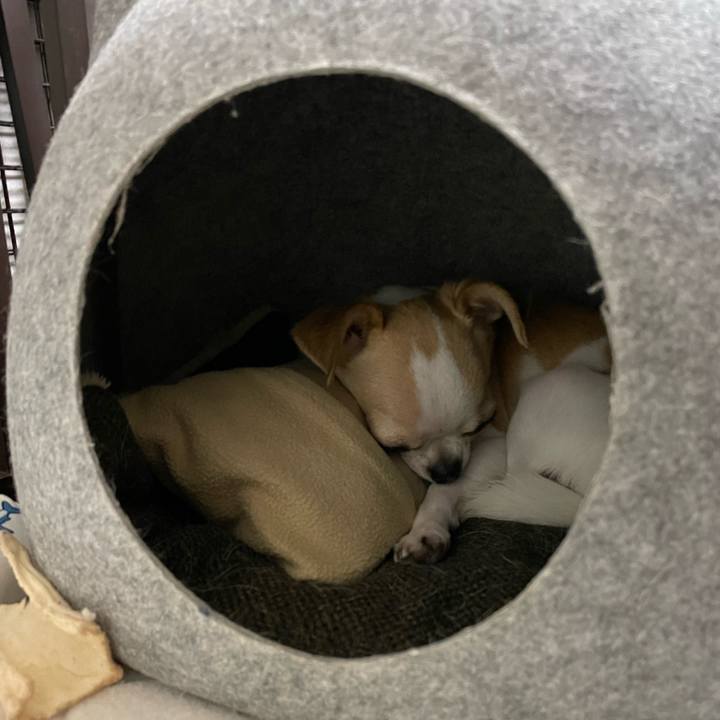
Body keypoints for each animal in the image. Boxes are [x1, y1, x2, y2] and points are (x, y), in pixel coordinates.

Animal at [292, 281, 611, 563]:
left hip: (547, 392)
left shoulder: (496, 444)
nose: (448, 470)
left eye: (479, 425)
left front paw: (426, 530)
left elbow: (445, 491)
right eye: (394, 444)